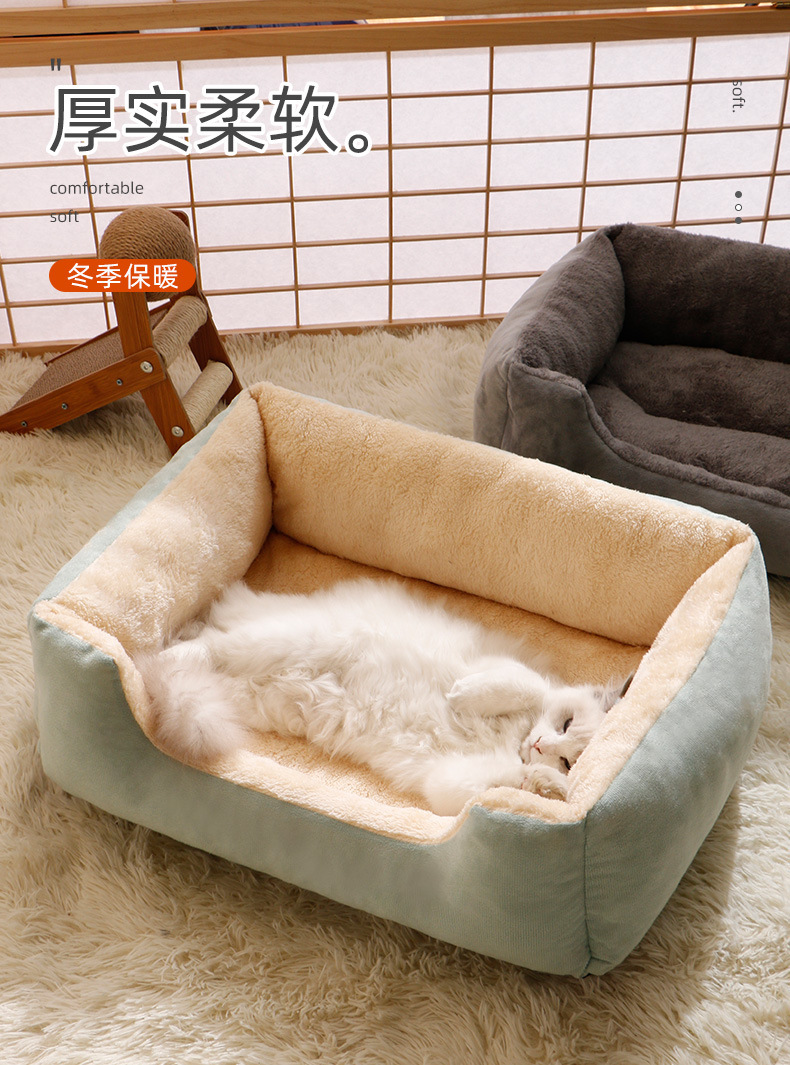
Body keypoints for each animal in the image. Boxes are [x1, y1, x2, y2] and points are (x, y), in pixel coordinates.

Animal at [136, 577, 629, 816]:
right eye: (565, 725)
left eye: (568, 759)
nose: (541, 746)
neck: (512, 737)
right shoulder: (495, 668)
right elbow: (519, 684)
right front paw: (461, 698)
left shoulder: (450, 783)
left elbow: (511, 783)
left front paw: (549, 788)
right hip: (281, 640)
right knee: (193, 647)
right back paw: (138, 664)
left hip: (245, 690)